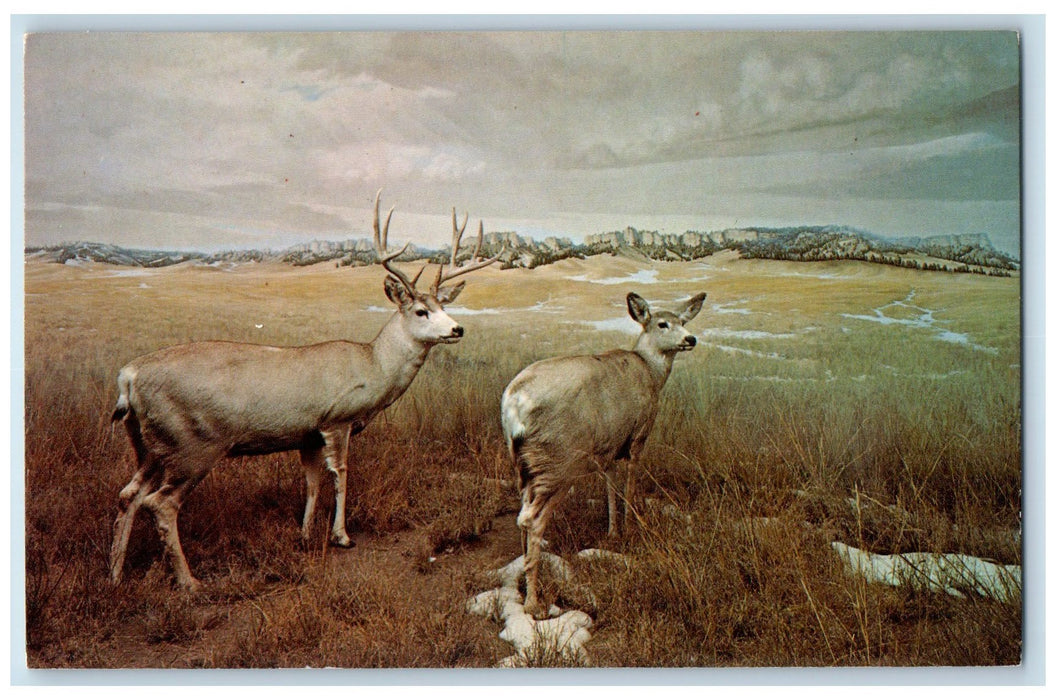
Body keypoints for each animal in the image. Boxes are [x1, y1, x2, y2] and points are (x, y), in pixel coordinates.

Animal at [108, 190, 501, 590]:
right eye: (421, 311)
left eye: (445, 305)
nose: (457, 329)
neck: (373, 364)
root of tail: (129, 376)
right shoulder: (338, 420)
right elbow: (340, 474)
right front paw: (341, 536)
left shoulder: (308, 433)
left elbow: (312, 483)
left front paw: (305, 535)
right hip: (194, 444)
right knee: (160, 504)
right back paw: (189, 582)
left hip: (150, 445)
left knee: (129, 496)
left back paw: (115, 576)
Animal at [501, 290, 707, 618]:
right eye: (662, 324)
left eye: (684, 321)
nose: (691, 338)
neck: (651, 372)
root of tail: (513, 406)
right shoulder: (638, 435)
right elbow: (630, 486)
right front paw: (632, 528)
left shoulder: (609, 448)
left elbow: (611, 488)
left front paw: (612, 532)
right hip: (558, 463)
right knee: (531, 519)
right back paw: (534, 602)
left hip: (525, 466)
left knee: (522, 514)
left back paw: (524, 579)